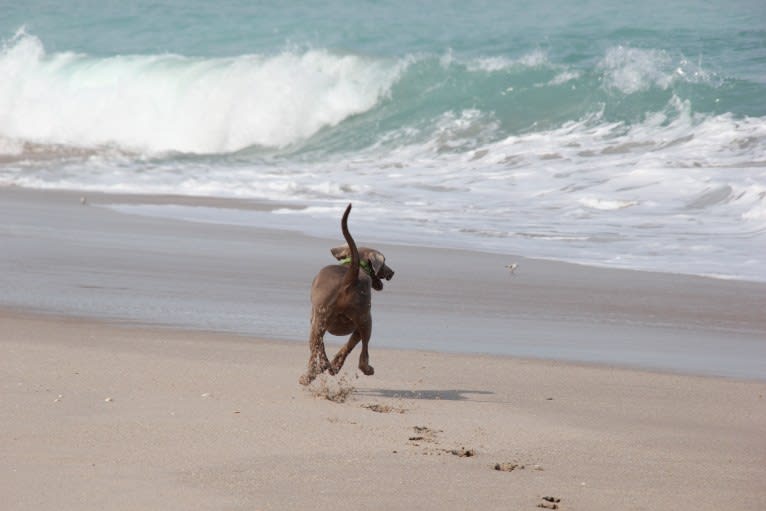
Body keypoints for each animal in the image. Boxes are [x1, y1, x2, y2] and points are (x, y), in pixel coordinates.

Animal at [300, 203, 396, 384]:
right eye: (385, 262)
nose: (392, 272)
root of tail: (347, 280)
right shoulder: (357, 328)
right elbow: (349, 346)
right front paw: (334, 366)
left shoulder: (316, 321)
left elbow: (330, 348)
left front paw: (330, 366)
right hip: (366, 319)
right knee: (363, 355)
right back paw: (366, 368)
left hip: (319, 320)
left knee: (316, 347)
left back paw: (310, 374)